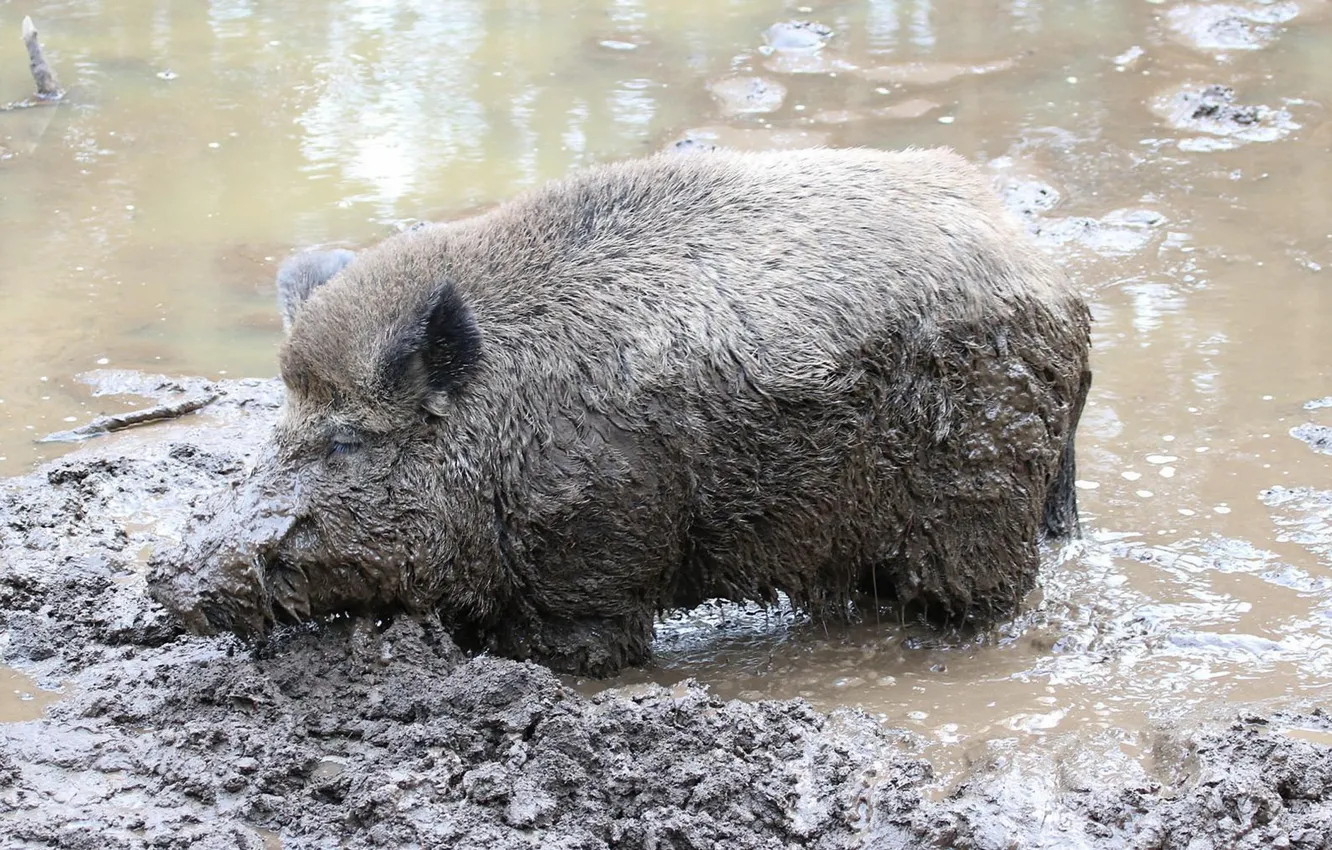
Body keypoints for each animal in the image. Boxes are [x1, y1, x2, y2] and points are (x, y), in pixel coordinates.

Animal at [147, 146, 1093, 676]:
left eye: (346, 444)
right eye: (280, 431)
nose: (169, 582)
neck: (500, 425)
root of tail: (1056, 285)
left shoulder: (597, 547)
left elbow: (586, 648)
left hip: (982, 503)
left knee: (989, 599)